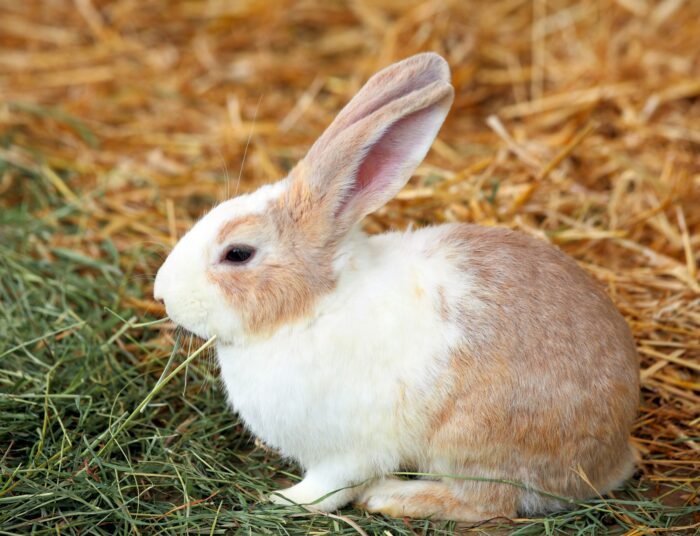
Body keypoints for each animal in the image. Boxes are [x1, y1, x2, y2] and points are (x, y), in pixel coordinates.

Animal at [153, 52, 640, 520]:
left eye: (238, 253)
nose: (162, 294)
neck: (316, 306)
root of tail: (612, 457)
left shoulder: (345, 451)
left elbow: (329, 487)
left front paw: (285, 500)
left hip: (471, 441)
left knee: (486, 504)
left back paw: (392, 497)